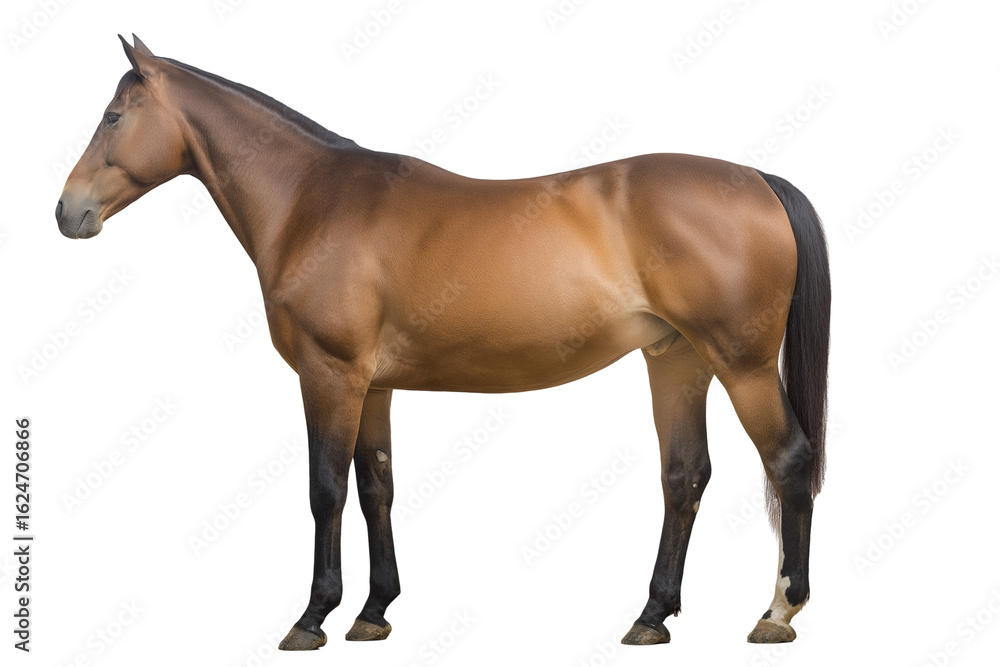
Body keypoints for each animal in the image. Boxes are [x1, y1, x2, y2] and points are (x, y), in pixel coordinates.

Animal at [56, 35, 830, 649]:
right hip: (678, 360)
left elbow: (325, 489)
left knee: (789, 461)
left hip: (742, 365)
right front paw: (373, 611)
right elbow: (376, 487)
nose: (68, 212)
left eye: (113, 116)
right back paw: (652, 615)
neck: (311, 201)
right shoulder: (372, 384)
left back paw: (778, 610)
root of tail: (759, 180)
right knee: (684, 476)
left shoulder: (329, 375)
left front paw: (313, 616)